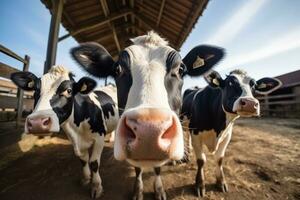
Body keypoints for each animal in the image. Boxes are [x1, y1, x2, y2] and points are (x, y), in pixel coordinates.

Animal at [10, 66, 118, 198]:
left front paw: (96, 186)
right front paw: (86, 178)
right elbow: (83, 160)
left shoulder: (99, 137)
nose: (36, 122)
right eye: (35, 90)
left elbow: (94, 163)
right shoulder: (74, 140)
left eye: (69, 90)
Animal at [71, 30, 225, 199]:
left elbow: (158, 168)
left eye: (180, 70)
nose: (149, 131)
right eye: (117, 70)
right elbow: (137, 169)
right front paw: (138, 190)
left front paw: (159, 189)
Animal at [182, 69, 282, 198]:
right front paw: (200, 184)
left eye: (254, 85)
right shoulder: (196, 135)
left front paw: (221, 182)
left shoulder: (227, 136)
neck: (217, 127)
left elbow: (219, 159)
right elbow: (201, 161)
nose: (250, 103)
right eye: (230, 83)